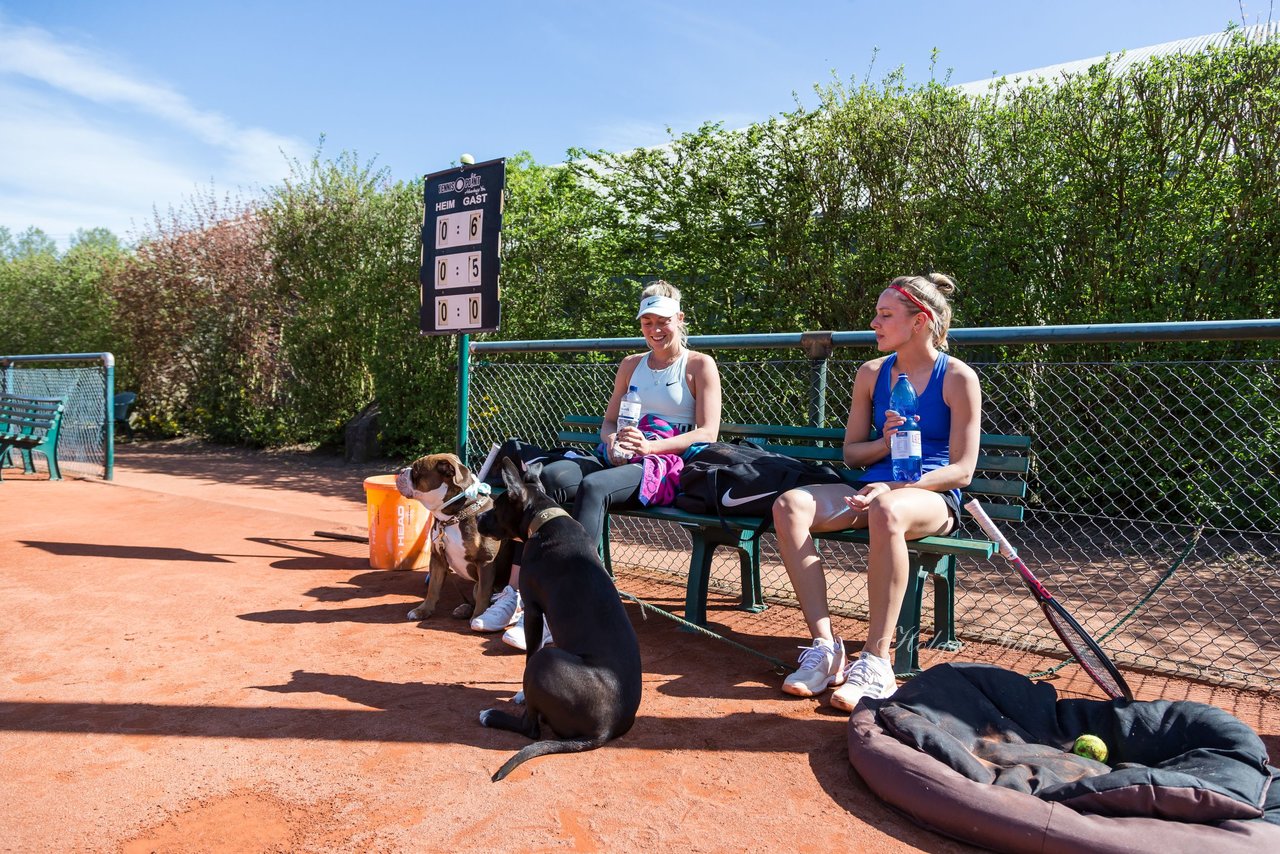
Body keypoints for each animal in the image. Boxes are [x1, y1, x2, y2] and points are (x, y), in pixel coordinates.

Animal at [394, 453, 509, 622]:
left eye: (415, 470)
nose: (401, 471)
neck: (454, 516)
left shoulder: (486, 562)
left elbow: (483, 593)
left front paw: (478, 617)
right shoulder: (437, 559)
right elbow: (433, 588)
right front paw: (423, 610)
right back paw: (464, 609)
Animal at [478, 460, 645, 783]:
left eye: (497, 506)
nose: (479, 517)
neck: (545, 519)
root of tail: (603, 732)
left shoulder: (532, 609)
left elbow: (527, 655)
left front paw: (519, 694)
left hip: (547, 660)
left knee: (531, 728)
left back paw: (492, 716)